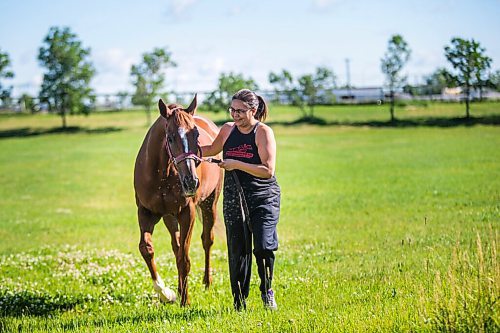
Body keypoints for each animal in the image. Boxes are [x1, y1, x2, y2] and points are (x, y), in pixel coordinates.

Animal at [135, 94, 225, 304]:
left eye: (196, 135)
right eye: (170, 137)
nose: (191, 182)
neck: (162, 173)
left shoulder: (187, 213)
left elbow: (184, 258)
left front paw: (185, 300)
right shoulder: (145, 212)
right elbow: (146, 248)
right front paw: (165, 293)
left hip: (210, 204)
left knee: (207, 240)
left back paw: (206, 282)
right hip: (169, 217)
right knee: (175, 246)